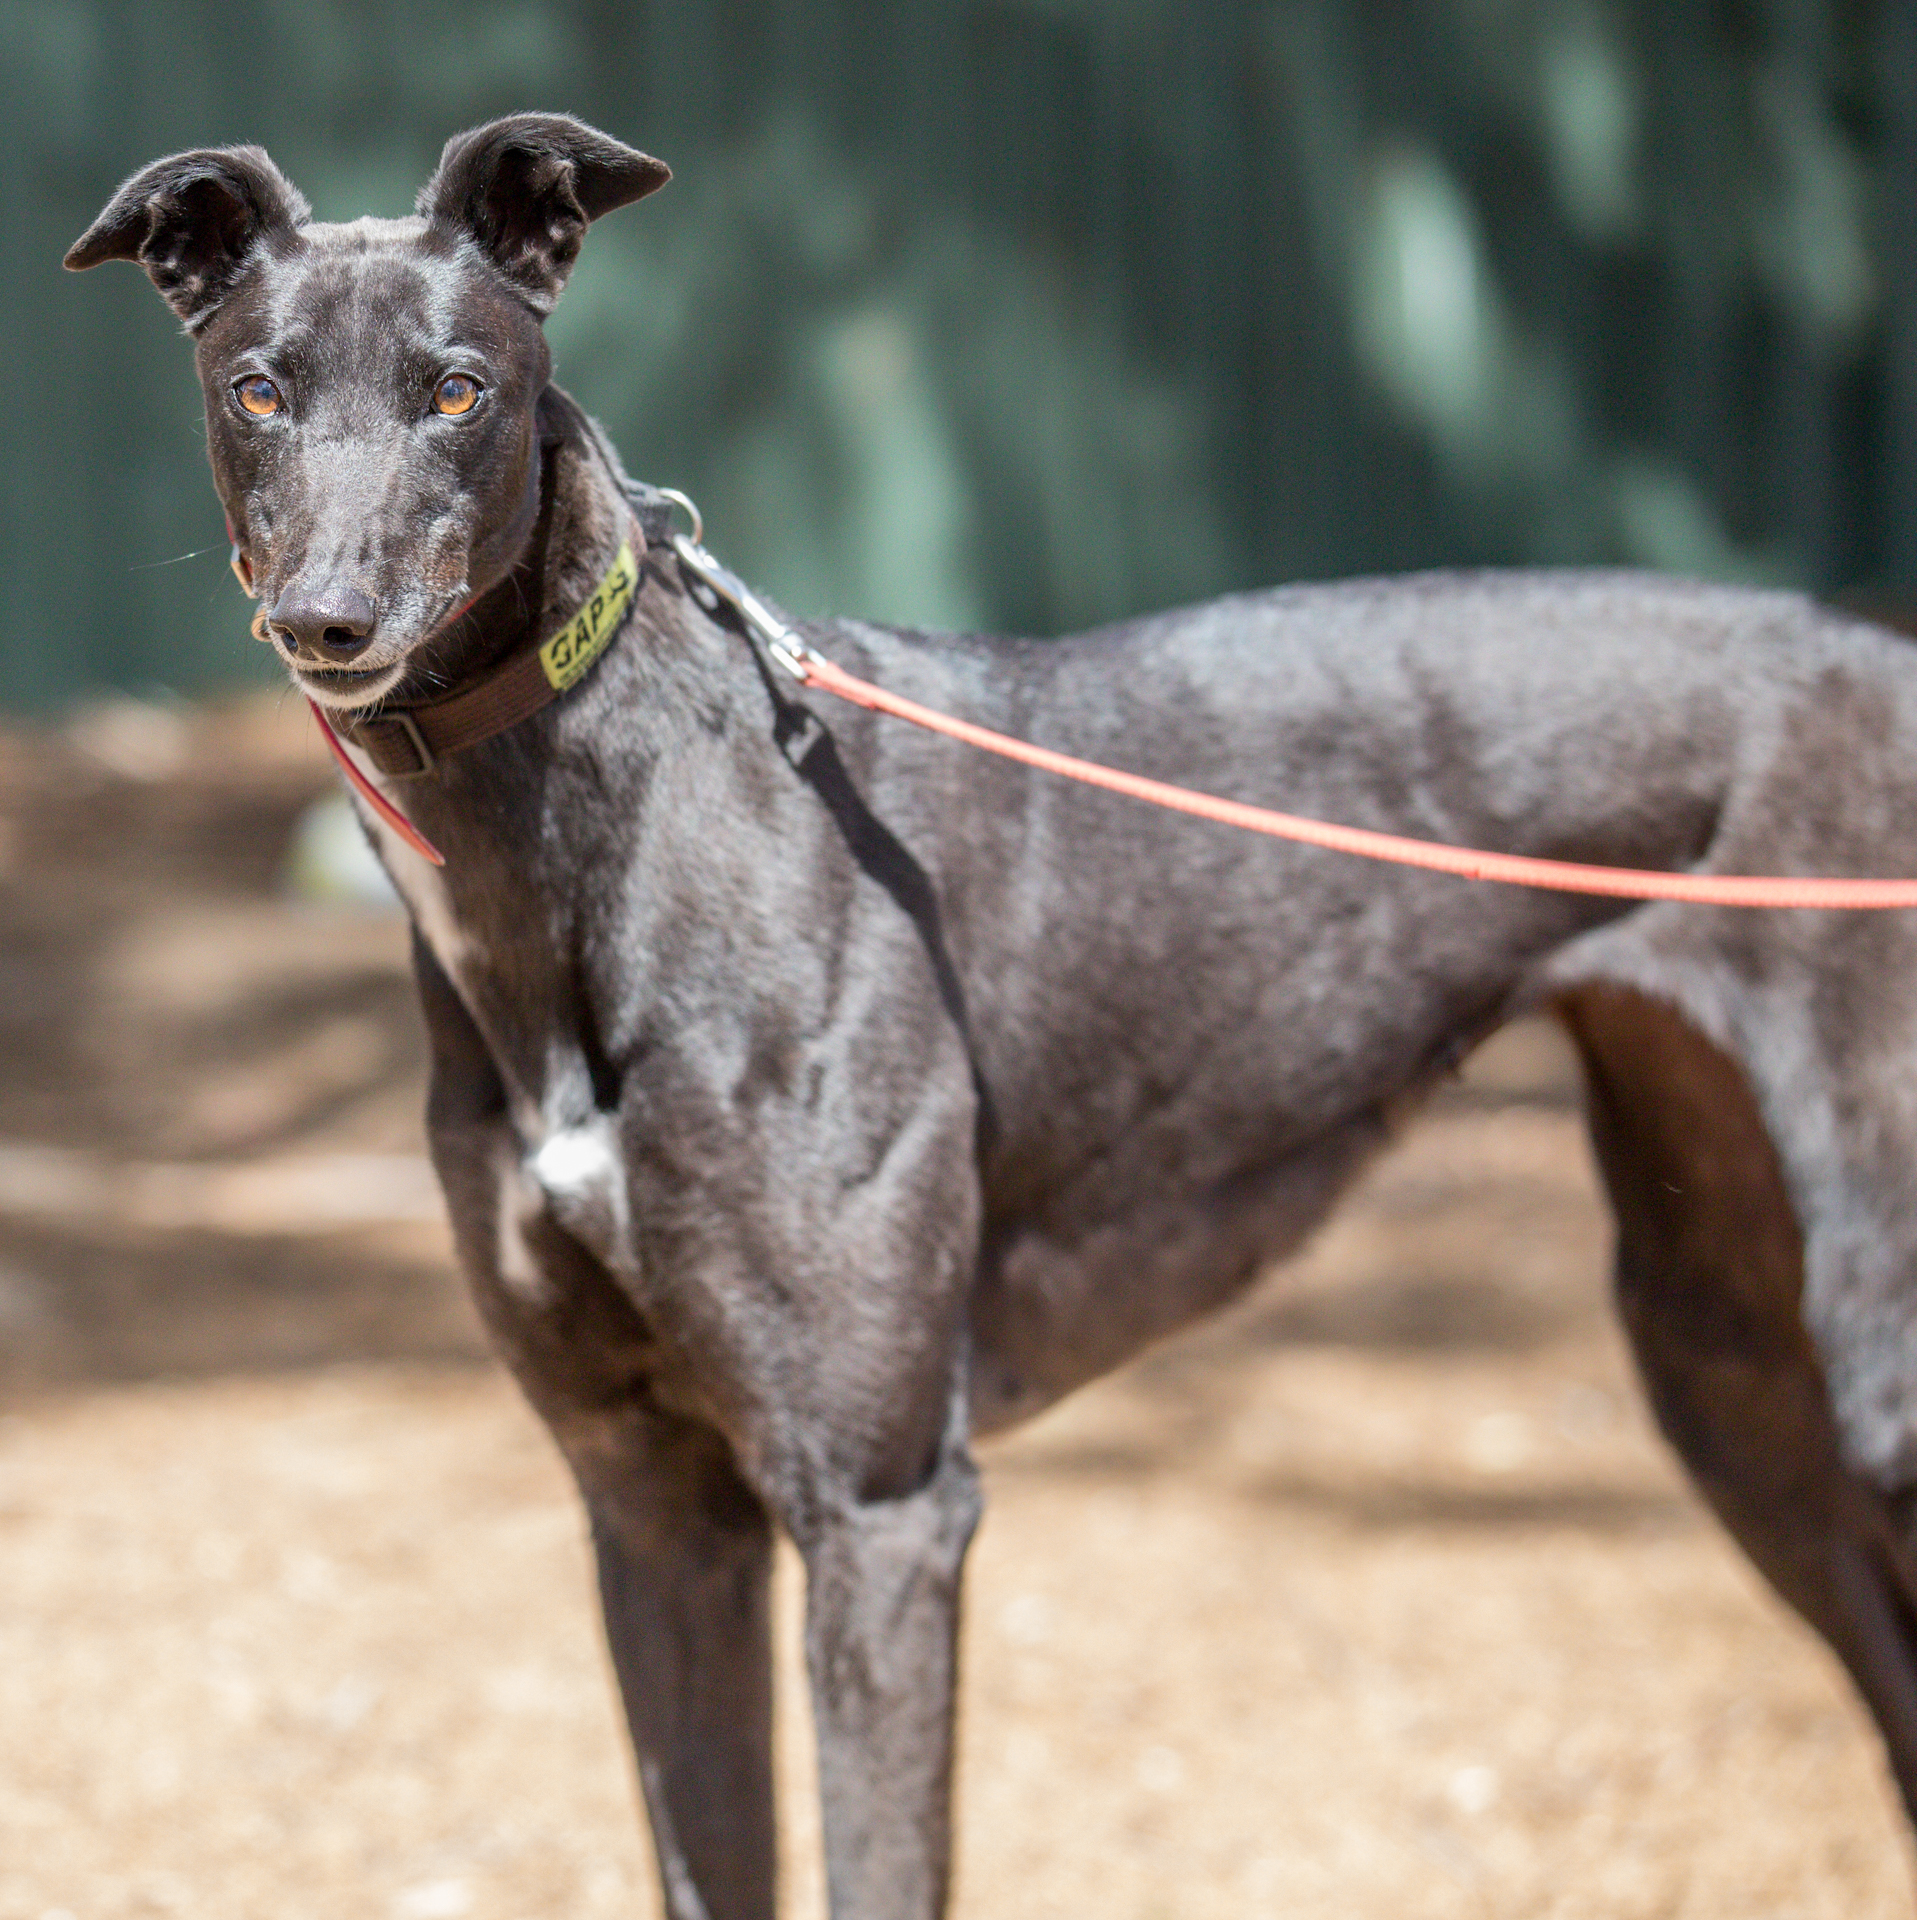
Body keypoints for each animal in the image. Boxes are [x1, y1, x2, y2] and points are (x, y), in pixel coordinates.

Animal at [67, 113, 1917, 1918]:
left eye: (458, 386)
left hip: (1865, 1363)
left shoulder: (880, 1507)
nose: (326, 622)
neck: (587, 835)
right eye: (258, 389)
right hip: (1729, 1365)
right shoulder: (655, 1504)